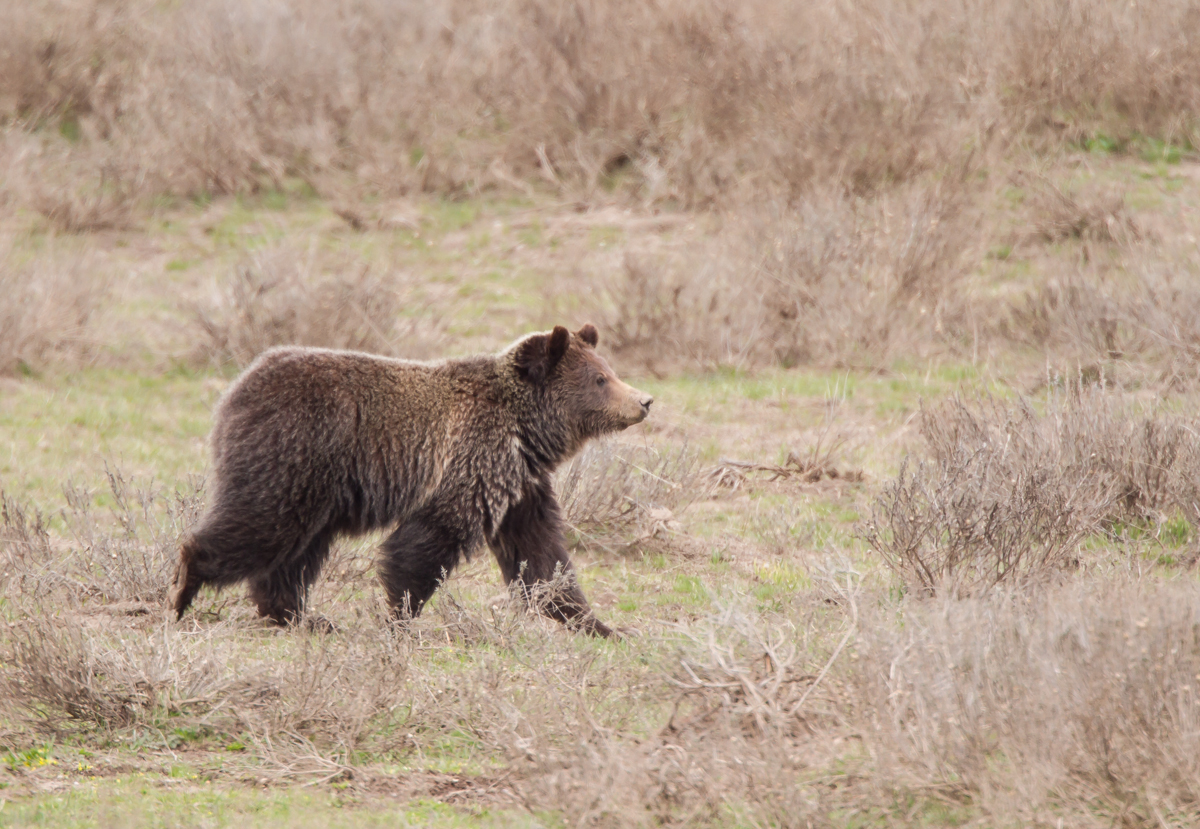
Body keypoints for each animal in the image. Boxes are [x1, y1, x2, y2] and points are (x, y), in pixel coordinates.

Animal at [170, 324, 651, 637]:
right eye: (600, 379)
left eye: (608, 370)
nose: (644, 401)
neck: (526, 433)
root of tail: (238, 386)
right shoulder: (469, 460)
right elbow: (427, 542)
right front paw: (400, 616)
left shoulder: (519, 487)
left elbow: (542, 556)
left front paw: (597, 623)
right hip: (295, 454)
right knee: (260, 523)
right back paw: (185, 587)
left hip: (317, 489)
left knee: (294, 551)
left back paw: (301, 617)